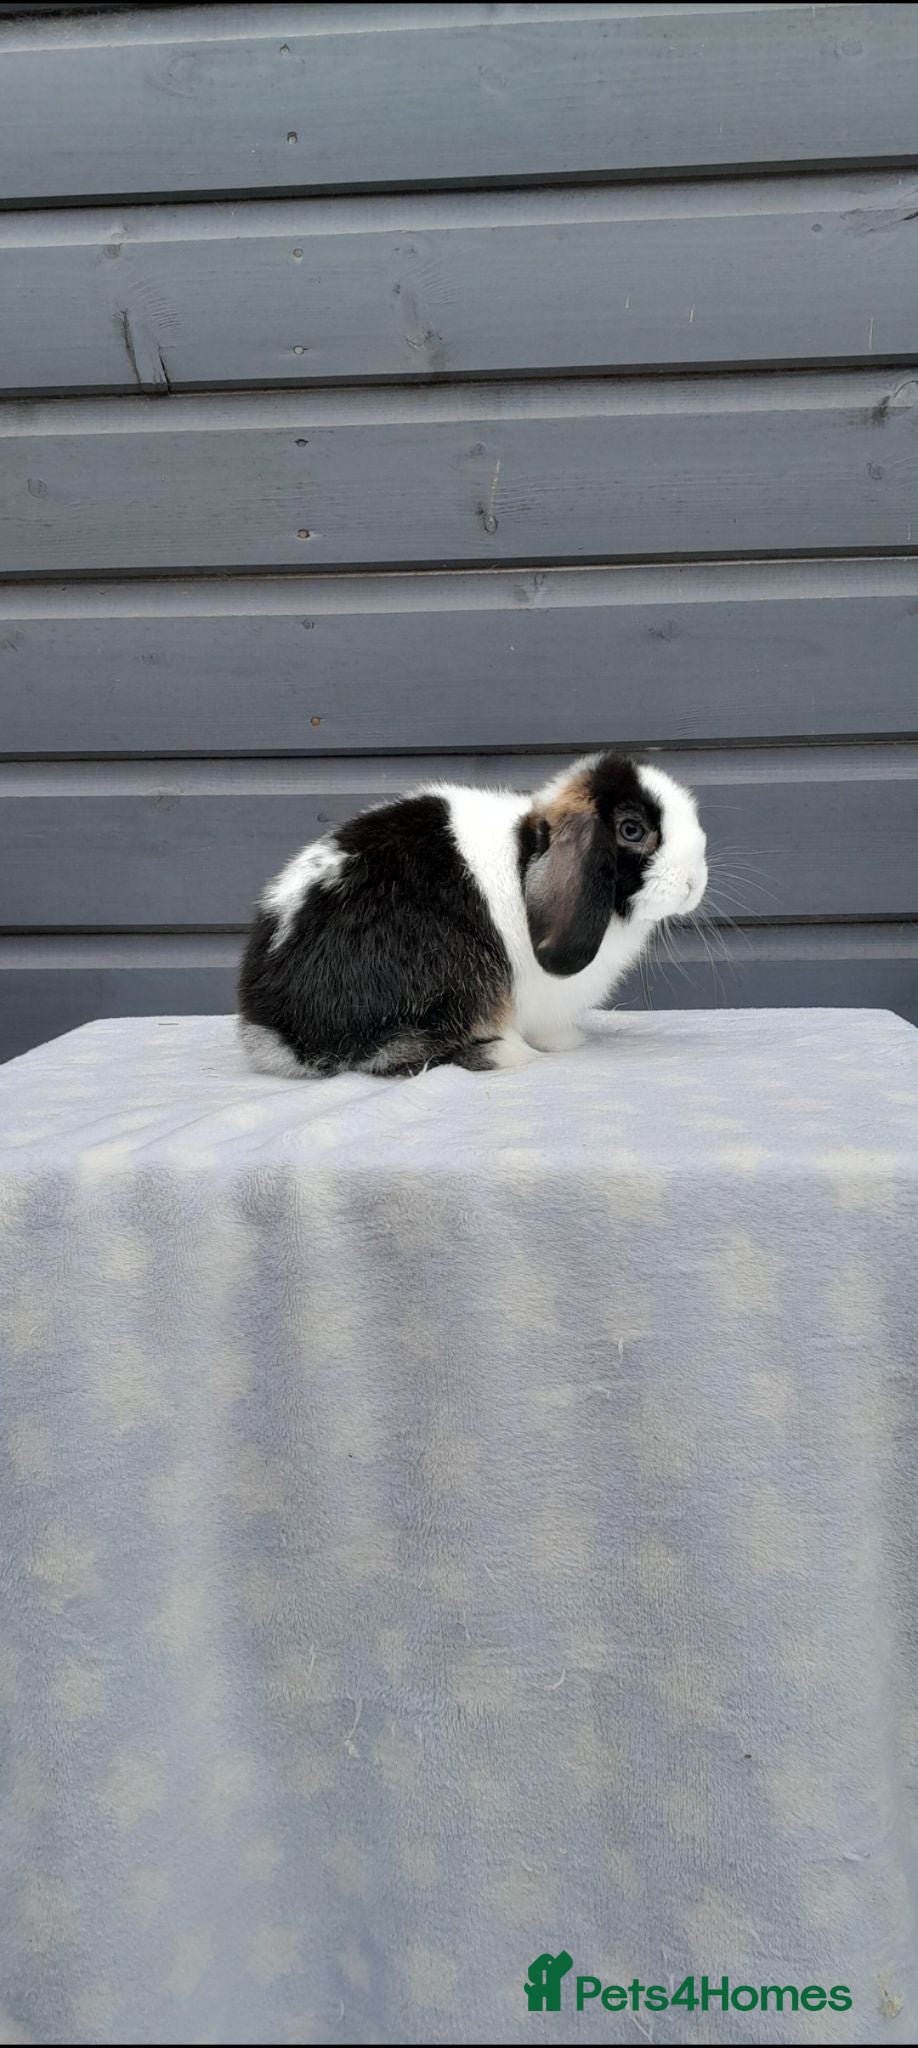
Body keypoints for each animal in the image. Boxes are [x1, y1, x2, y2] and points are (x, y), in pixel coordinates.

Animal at [237, 750, 708, 1079]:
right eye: (632, 830)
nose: (694, 882)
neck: (527, 854)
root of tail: (283, 1032)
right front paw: (566, 1043)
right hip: (447, 976)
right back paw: (508, 1052)